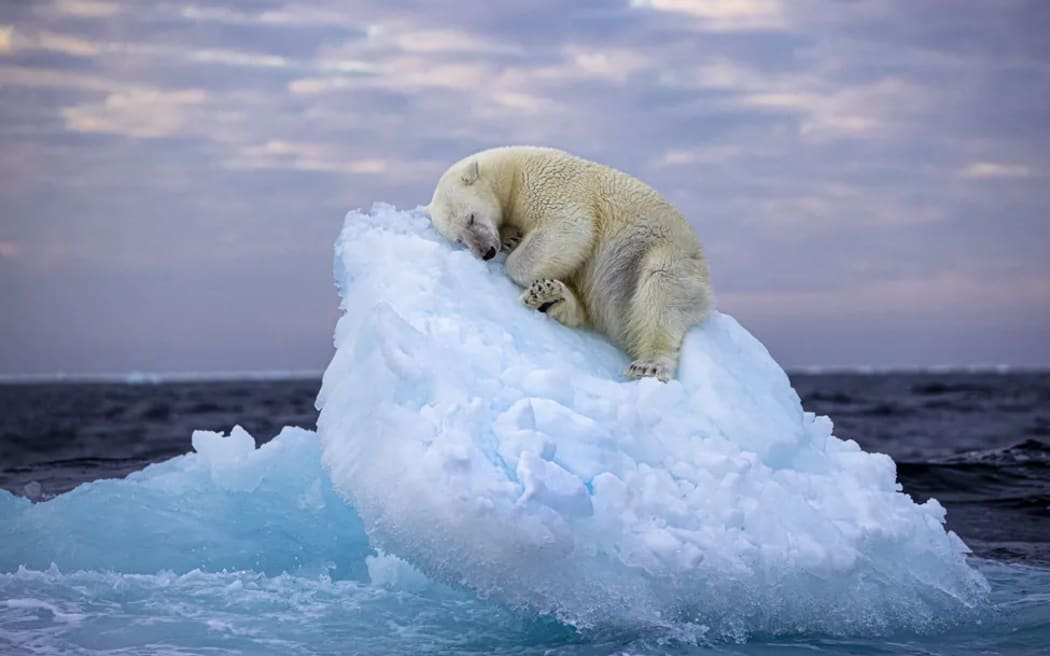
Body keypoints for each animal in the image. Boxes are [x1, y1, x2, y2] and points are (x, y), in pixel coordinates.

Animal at [426, 145, 713, 382]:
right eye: (459, 239)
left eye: (471, 218)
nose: (486, 251)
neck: (512, 172)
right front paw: (511, 239)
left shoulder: (549, 184)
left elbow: (570, 228)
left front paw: (514, 254)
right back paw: (549, 296)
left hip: (663, 253)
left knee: (661, 290)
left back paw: (649, 364)